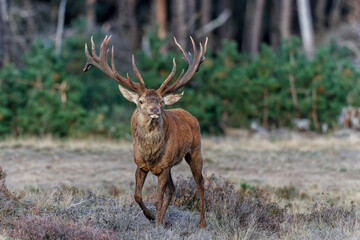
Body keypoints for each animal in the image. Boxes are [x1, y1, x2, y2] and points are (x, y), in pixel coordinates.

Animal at [83, 34, 208, 228]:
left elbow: (157, 199)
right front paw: (150, 217)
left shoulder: (164, 167)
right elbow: (137, 195)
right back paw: (162, 219)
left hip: (195, 150)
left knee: (200, 182)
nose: (155, 110)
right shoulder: (140, 165)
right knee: (173, 188)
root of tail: (191, 116)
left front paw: (156, 223)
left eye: (161, 102)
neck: (150, 153)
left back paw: (202, 223)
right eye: (141, 101)